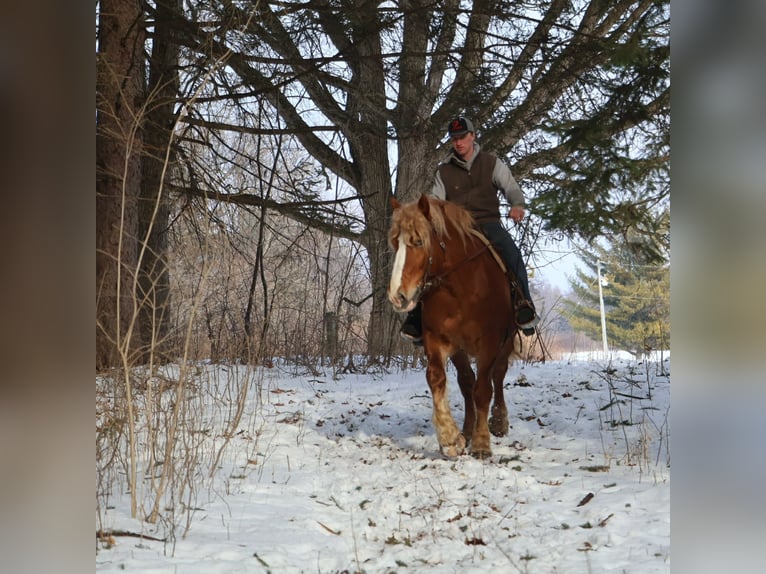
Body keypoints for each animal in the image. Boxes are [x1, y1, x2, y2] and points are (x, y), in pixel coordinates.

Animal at [387, 194, 518, 459]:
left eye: (418, 241)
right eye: (396, 243)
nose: (397, 296)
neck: (460, 289)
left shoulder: (489, 343)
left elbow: (483, 389)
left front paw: (481, 443)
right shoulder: (440, 341)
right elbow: (438, 379)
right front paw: (451, 438)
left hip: (507, 341)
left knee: (497, 376)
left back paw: (498, 421)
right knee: (467, 382)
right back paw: (466, 430)